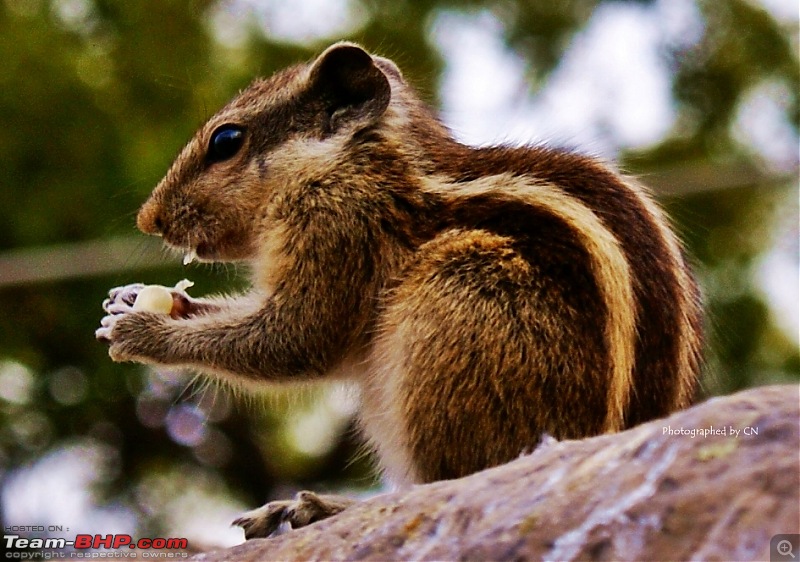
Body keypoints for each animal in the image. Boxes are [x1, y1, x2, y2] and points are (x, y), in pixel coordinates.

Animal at [97, 42, 704, 532]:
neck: (356, 160)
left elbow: (296, 338)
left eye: (226, 141)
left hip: (459, 310)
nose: (148, 220)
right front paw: (141, 299)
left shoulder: (338, 225)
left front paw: (144, 330)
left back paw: (328, 506)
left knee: (452, 482)